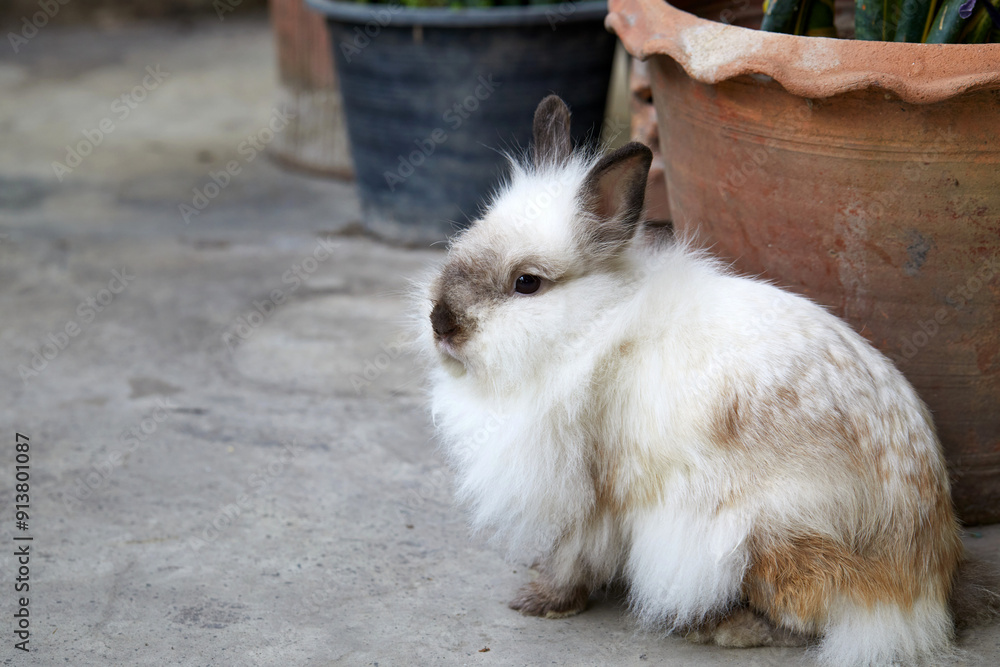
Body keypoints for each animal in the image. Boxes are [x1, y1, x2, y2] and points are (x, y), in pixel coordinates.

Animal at [418, 94, 982, 667]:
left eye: (526, 283)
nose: (442, 322)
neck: (589, 331)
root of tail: (917, 578)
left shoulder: (592, 494)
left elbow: (573, 557)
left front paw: (539, 601)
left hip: (757, 539)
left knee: (815, 612)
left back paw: (724, 629)